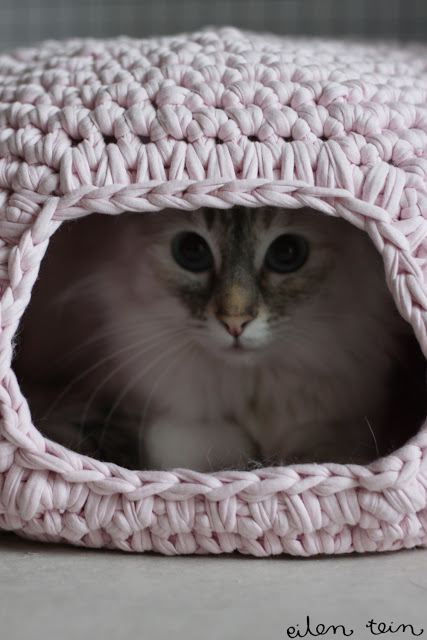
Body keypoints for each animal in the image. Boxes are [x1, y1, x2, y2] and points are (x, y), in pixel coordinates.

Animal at [11, 208, 426, 472]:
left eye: (287, 253)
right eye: (191, 251)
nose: (235, 322)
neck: (250, 386)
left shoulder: (338, 421)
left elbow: (321, 450)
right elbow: (216, 443)